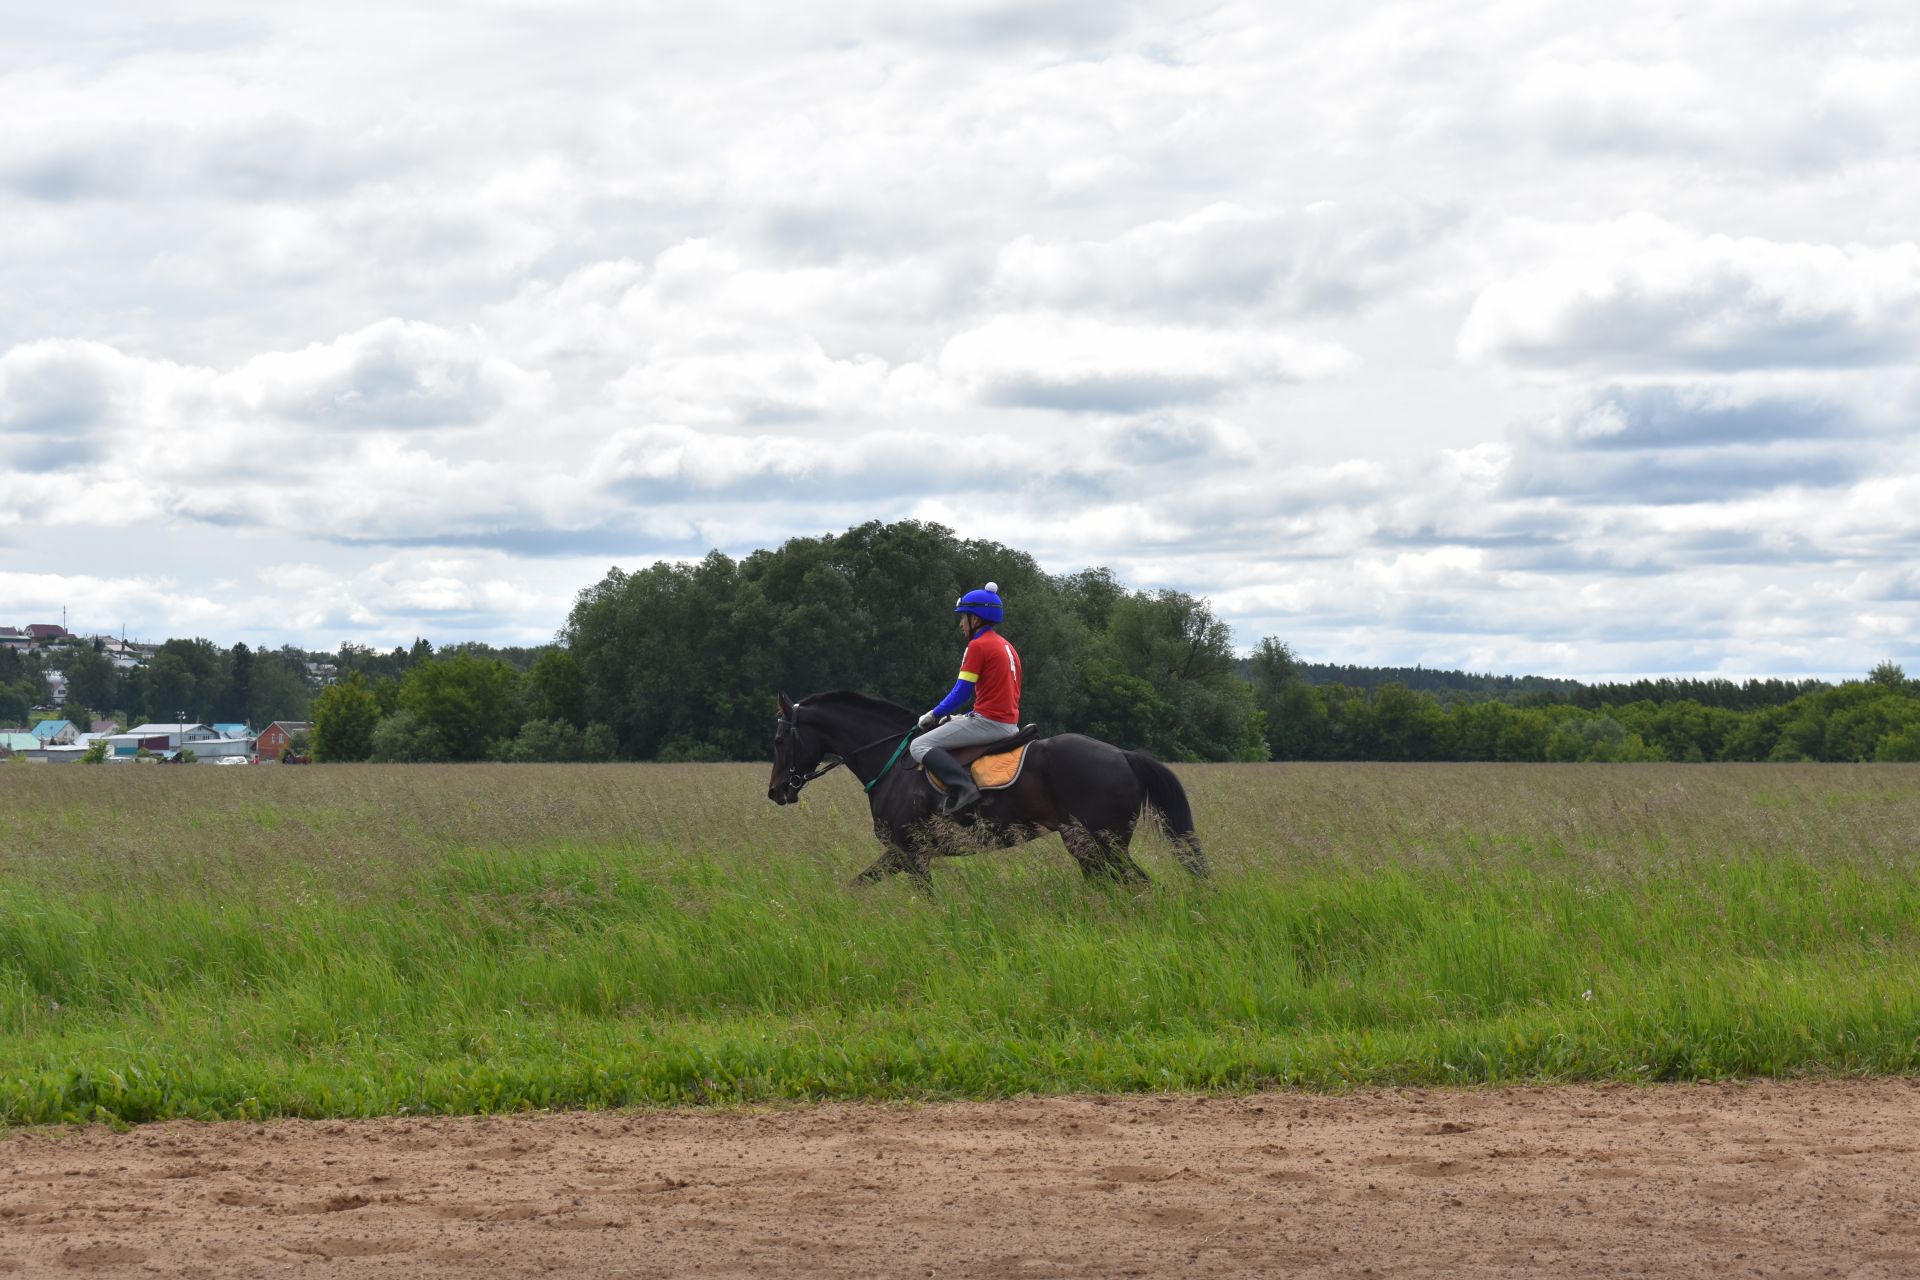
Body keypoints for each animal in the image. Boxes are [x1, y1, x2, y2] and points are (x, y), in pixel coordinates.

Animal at [760, 690, 1198, 890]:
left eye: (779, 740)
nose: (776, 792)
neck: (889, 761)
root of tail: (1123, 754)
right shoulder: (899, 854)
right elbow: (857, 885)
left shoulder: (911, 852)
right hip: (1090, 846)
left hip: (1103, 843)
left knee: (1137, 884)